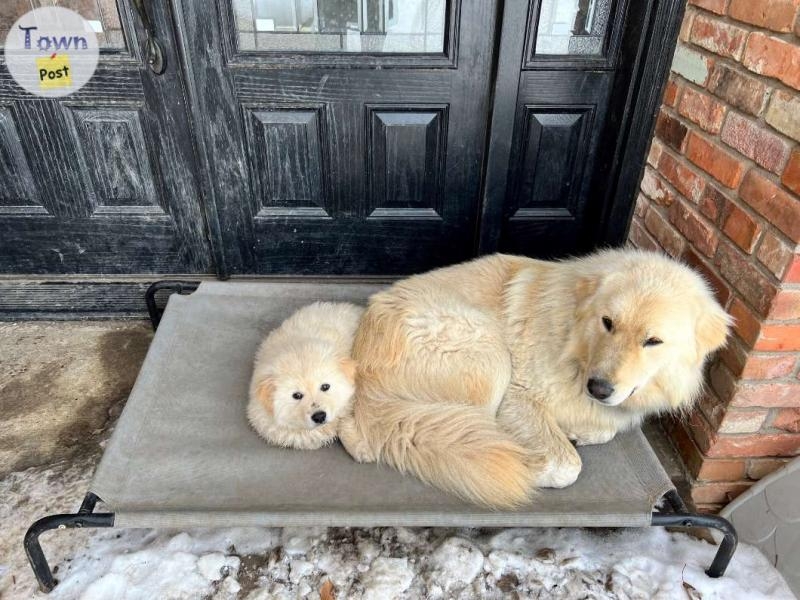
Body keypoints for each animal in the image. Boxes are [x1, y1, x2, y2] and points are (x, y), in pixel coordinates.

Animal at [338, 251, 732, 508]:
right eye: (608, 322)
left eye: (653, 341)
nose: (598, 389)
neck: (575, 344)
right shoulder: (520, 396)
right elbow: (566, 466)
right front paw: (533, 464)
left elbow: (604, 429)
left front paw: (580, 432)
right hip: (490, 355)